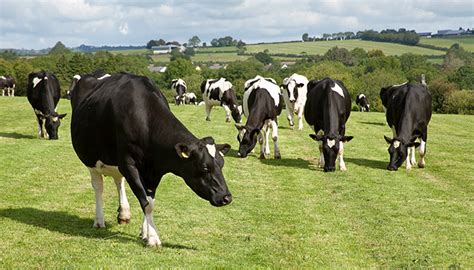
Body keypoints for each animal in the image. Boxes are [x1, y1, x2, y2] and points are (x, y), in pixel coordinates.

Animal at [70, 71, 231, 247]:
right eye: (205, 167)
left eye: (222, 165)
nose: (226, 197)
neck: (144, 118)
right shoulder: (128, 164)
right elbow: (146, 204)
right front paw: (153, 238)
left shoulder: (154, 170)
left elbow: (149, 201)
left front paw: (145, 232)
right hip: (90, 159)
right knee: (98, 187)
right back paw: (99, 221)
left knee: (119, 180)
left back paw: (124, 213)